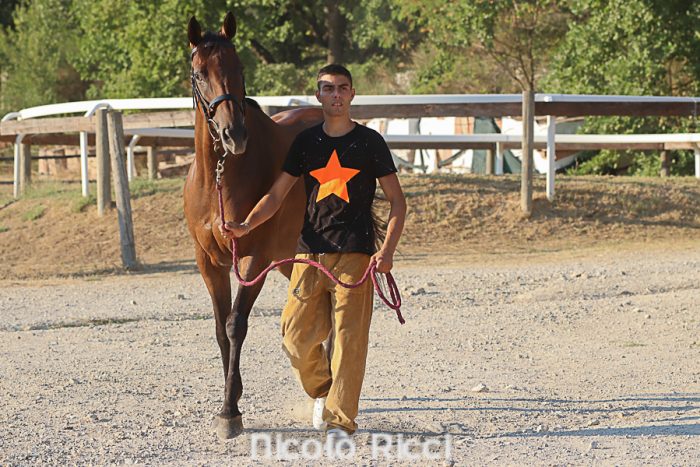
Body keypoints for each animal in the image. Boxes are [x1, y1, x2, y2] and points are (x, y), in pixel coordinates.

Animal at [183, 12, 323, 440]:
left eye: (239, 67)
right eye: (200, 73)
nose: (235, 135)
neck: (219, 178)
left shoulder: (254, 259)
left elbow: (235, 325)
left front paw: (229, 410)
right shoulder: (208, 261)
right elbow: (218, 327)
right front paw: (235, 392)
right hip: (294, 256)